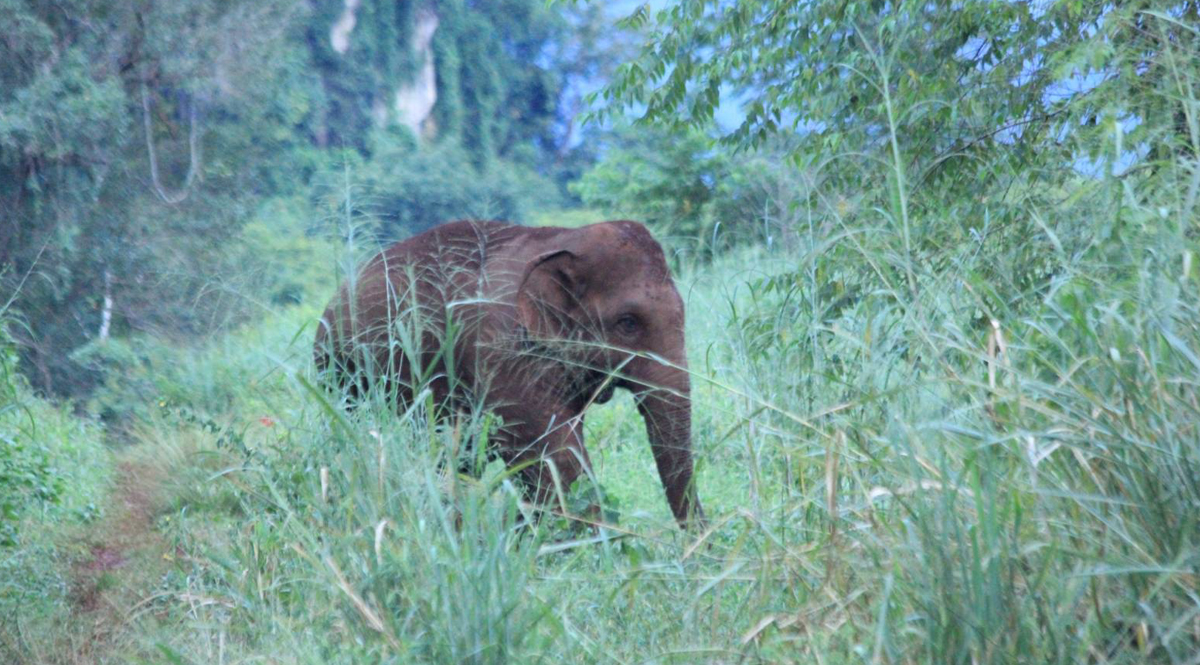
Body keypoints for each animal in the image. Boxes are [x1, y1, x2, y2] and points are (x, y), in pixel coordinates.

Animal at [314, 219, 700, 525]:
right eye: (628, 323)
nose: (695, 549)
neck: (564, 238)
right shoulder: (502, 349)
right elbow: (552, 453)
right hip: (342, 376)